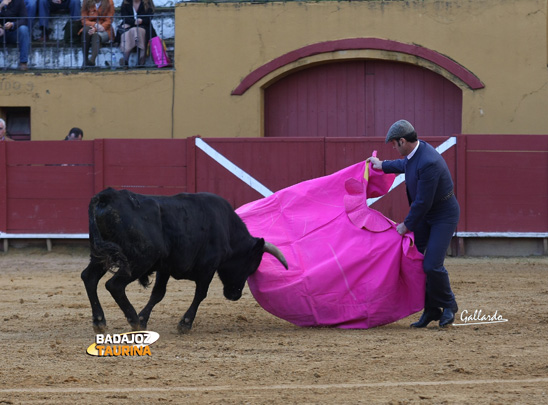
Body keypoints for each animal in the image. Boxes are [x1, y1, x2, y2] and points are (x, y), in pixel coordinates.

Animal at [81, 188, 288, 332]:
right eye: (250, 266)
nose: (235, 295)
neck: (227, 230)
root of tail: (106, 196)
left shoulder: (165, 267)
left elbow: (158, 294)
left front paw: (143, 318)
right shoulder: (208, 268)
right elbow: (200, 294)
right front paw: (184, 324)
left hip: (101, 255)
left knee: (89, 277)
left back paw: (100, 321)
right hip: (140, 259)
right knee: (114, 285)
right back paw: (133, 321)